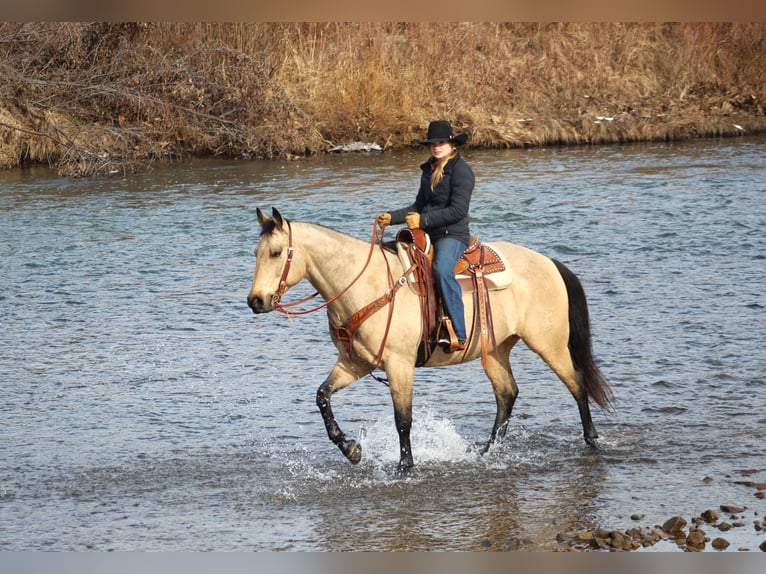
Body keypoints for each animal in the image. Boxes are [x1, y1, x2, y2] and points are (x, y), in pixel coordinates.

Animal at [249, 208, 616, 476]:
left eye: (277, 253)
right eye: (256, 253)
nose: (256, 300)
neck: (367, 284)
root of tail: (550, 263)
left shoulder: (399, 364)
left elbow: (403, 419)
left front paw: (405, 467)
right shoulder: (355, 363)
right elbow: (322, 397)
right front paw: (351, 449)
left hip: (548, 344)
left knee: (576, 383)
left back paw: (592, 440)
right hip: (496, 349)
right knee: (507, 394)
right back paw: (485, 453)